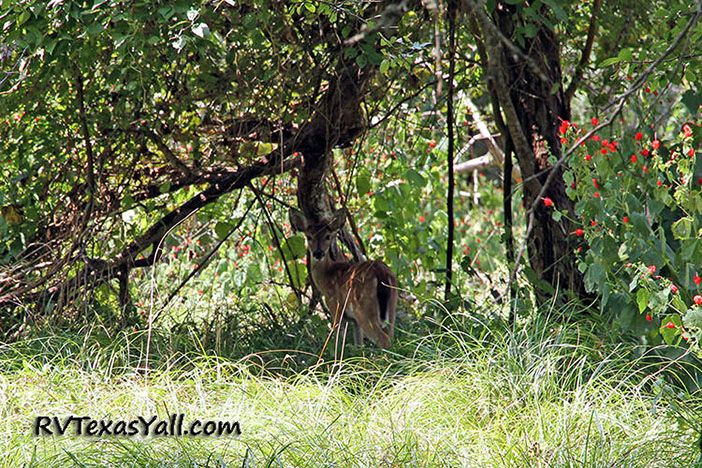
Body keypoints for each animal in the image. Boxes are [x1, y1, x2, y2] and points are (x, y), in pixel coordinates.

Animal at [290, 207, 398, 348]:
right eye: (309, 237)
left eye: (328, 236)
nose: (318, 253)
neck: (326, 275)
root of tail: (381, 274)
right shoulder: (354, 320)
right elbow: (359, 344)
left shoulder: (335, 306)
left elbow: (338, 336)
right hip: (392, 306)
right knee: (391, 336)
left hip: (364, 310)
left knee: (384, 340)